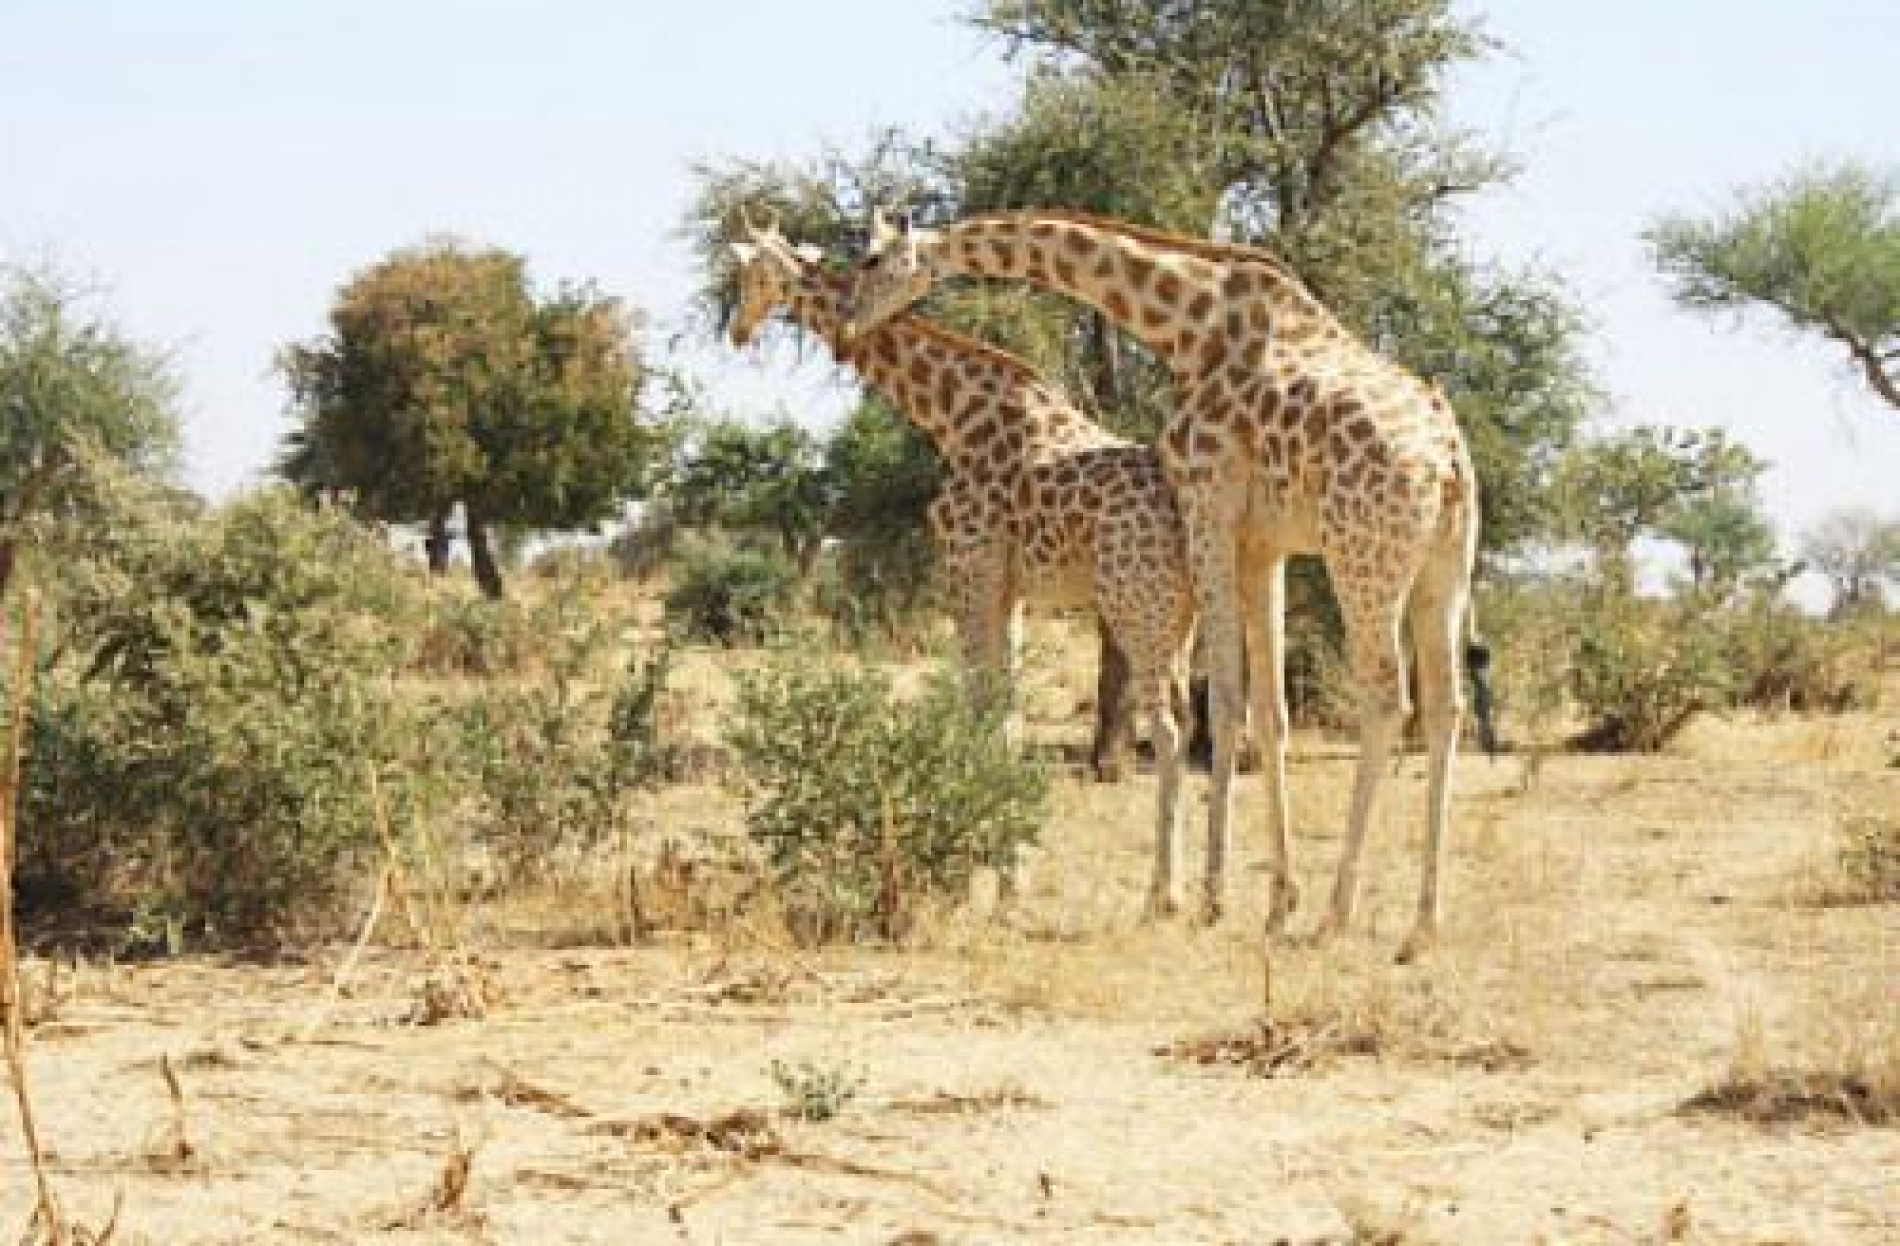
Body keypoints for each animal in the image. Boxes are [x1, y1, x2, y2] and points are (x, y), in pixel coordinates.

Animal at [729, 216, 1200, 915]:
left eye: (747, 273)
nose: (736, 330)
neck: (948, 414)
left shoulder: (967, 568)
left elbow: (980, 711)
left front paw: (972, 875)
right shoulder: (1012, 591)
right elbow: (1006, 716)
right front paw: (1010, 878)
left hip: (1136, 605)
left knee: (1168, 730)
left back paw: (1162, 897)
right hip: (1187, 616)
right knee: (1204, 723)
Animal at [847, 208, 1482, 964]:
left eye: (873, 258)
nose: (850, 323)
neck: (1185, 324)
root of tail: (1447, 461)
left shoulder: (1207, 502)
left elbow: (1226, 702)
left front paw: (1212, 899)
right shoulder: (1261, 541)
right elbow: (1269, 710)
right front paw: (1273, 903)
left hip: (1363, 558)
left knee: (1388, 699)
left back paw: (1337, 915)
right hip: (1445, 567)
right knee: (1446, 706)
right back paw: (1422, 924)